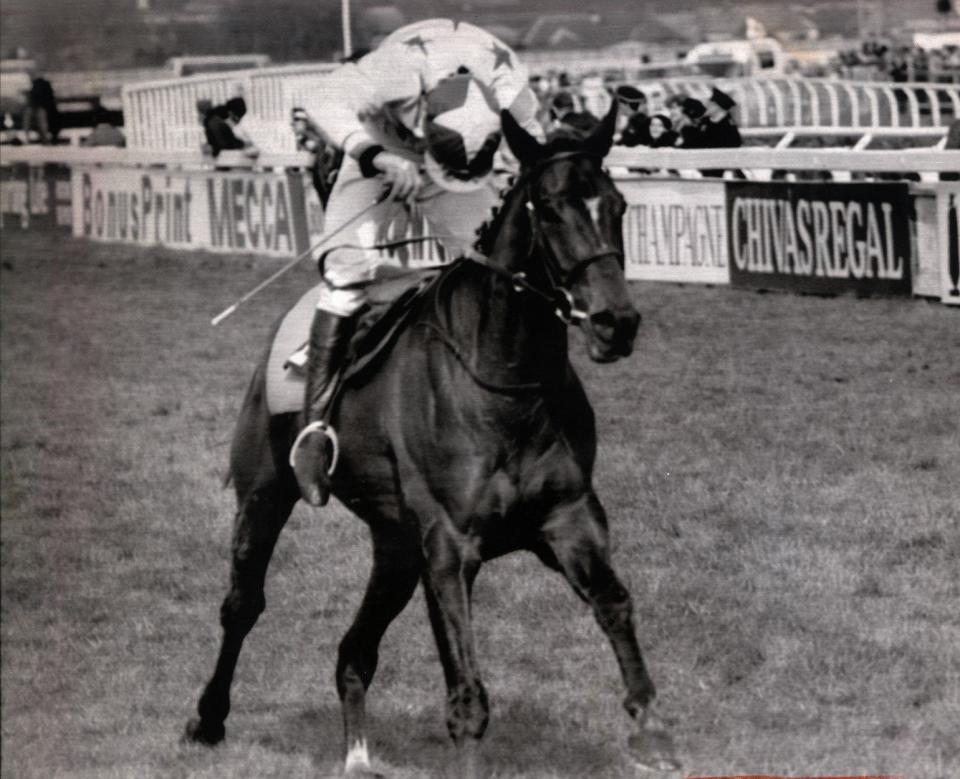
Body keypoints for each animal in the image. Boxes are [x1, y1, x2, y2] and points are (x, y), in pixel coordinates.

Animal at [188, 106, 680, 776]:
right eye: (551, 209)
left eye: (619, 205)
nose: (616, 323)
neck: (505, 382)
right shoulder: (448, 547)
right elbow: (467, 691)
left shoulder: (567, 520)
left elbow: (614, 603)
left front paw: (650, 726)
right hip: (265, 496)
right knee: (242, 604)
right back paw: (209, 718)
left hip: (394, 545)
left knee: (354, 651)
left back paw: (358, 754)